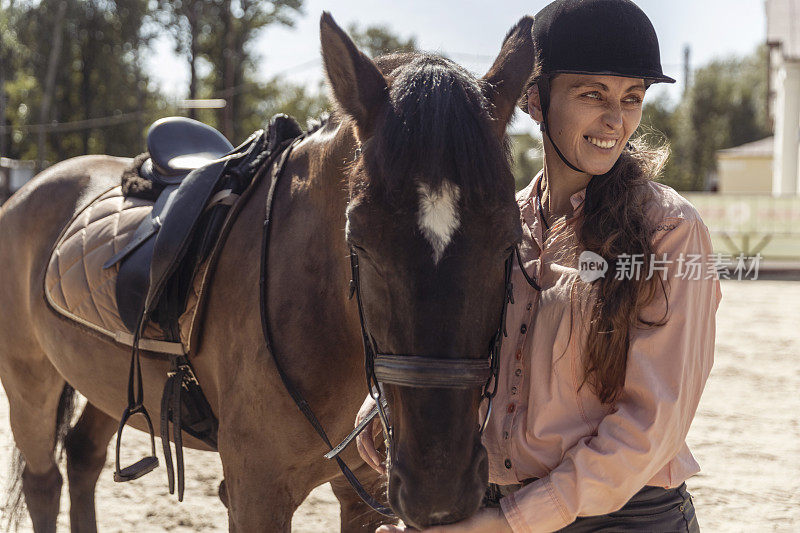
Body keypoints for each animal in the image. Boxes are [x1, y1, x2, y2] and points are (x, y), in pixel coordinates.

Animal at [0, 12, 536, 532]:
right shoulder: (256, 494)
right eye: (359, 240)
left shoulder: (363, 498)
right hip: (29, 382)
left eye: (510, 240)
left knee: (82, 459)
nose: (438, 490)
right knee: (44, 483)